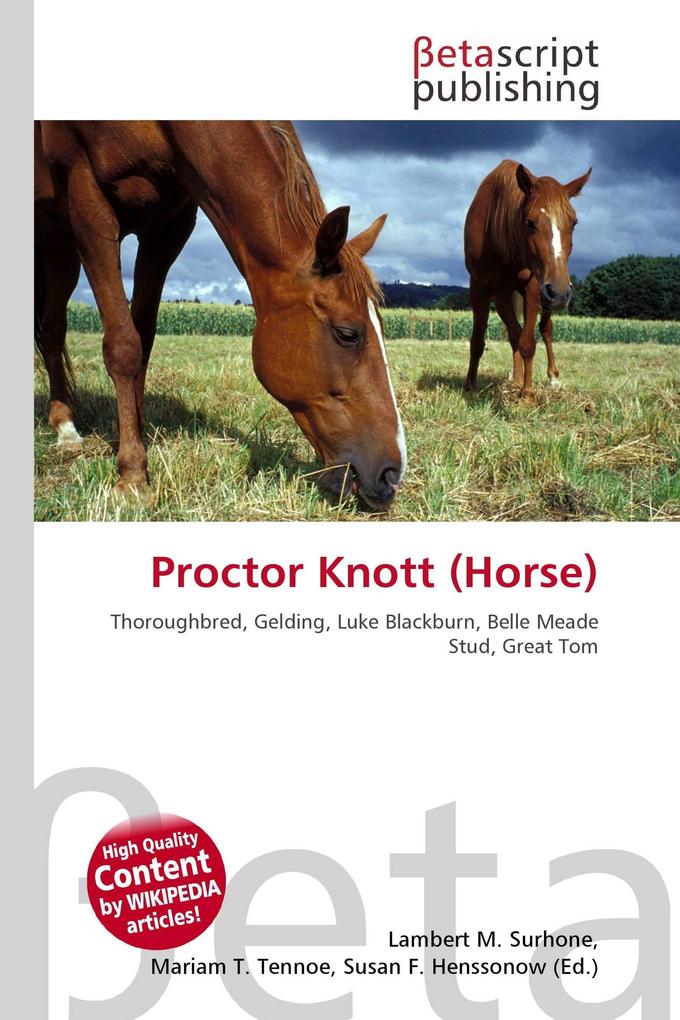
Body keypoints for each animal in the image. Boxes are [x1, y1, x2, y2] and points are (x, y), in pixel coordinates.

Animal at [34, 121, 406, 508]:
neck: (165, 129)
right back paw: (65, 427)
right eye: (347, 333)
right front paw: (133, 476)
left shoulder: (168, 228)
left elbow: (143, 338)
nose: (392, 474)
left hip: (59, 243)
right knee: (54, 330)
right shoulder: (88, 205)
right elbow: (123, 346)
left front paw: (135, 434)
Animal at [463, 159, 591, 398]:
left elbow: (529, 344)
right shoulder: (478, 288)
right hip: (508, 295)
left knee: (545, 329)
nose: (560, 292)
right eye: (529, 223)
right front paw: (469, 386)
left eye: (574, 223)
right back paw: (515, 380)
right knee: (515, 333)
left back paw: (552, 378)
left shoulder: (533, 288)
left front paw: (528, 395)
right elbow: (477, 341)